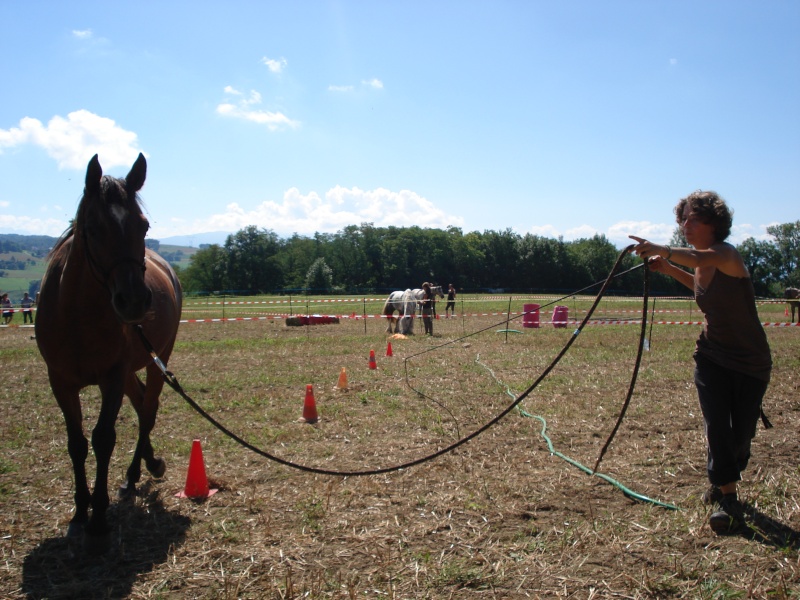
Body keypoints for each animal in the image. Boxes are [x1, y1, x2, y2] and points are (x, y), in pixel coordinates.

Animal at [36, 152, 183, 552]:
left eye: (143, 226)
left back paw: (138, 471)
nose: (134, 301)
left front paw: (99, 517)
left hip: (156, 358)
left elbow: (103, 439)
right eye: (92, 227)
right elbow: (76, 443)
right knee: (141, 401)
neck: (76, 313)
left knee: (148, 409)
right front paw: (78, 513)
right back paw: (142, 468)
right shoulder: (60, 382)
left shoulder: (112, 377)